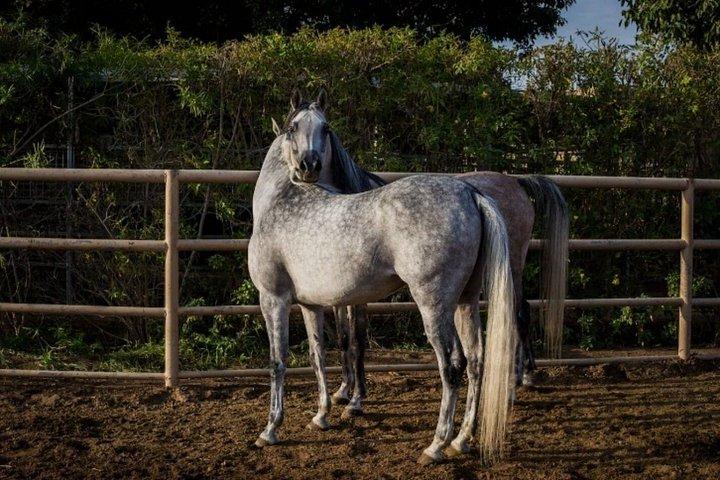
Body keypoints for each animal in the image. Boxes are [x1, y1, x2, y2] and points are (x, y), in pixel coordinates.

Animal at [249, 90, 517, 464]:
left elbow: (277, 361)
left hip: (433, 304)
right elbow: (318, 357)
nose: (308, 166)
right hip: (465, 301)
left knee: (452, 367)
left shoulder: (273, 299)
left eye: (326, 128)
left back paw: (435, 446)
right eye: (292, 127)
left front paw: (270, 429)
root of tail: (470, 194)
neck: (279, 201)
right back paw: (461, 440)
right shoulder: (310, 305)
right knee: (476, 362)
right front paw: (321, 415)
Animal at [274, 91, 569, 418]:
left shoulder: (359, 297)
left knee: (518, 312)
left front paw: (356, 400)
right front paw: (343, 391)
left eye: (325, 128)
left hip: (512, 266)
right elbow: (343, 338)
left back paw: (519, 379)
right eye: (292, 127)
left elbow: (358, 339)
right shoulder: (339, 295)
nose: (308, 165)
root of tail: (516, 182)